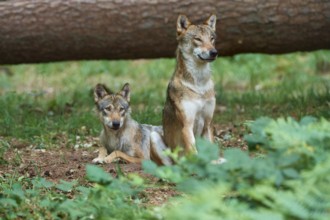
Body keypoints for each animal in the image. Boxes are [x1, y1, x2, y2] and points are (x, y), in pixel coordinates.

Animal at [163, 13, 219, 156]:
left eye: (211, 39)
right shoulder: (187, 126)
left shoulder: (208, 124)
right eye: (198, 39)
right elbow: (194, 153)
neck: (199, 85)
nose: (214, 52)